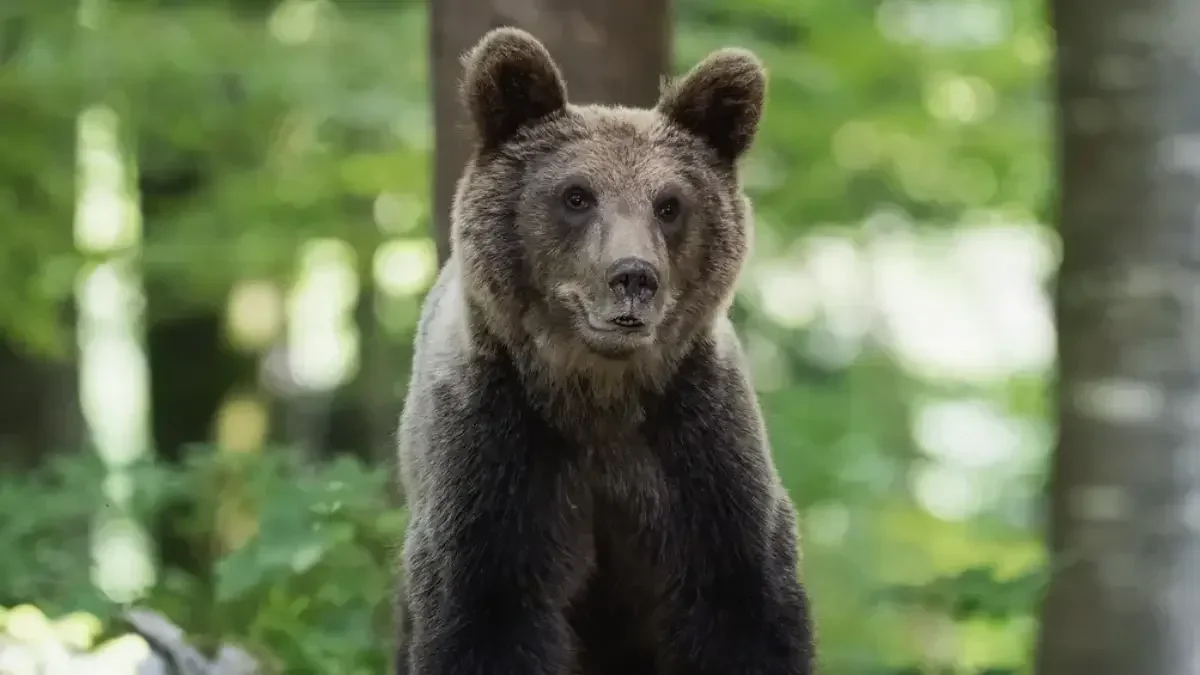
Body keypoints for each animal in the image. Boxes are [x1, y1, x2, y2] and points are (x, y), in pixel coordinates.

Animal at [393, 26, 816, 672]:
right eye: (576, 196)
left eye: (668, 204)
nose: (634, 276)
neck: (598, 397)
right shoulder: (495, 459)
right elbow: (485, 617)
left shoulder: (701, 456)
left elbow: (745, 610)